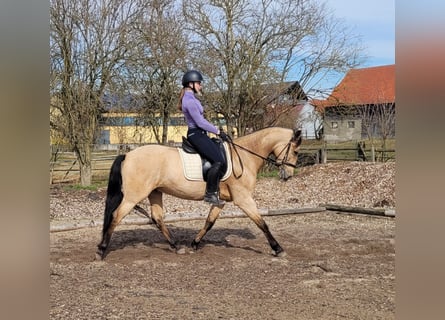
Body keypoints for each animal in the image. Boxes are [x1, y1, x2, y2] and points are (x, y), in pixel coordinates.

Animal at [96, 126, 302, 258]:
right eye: (296, 152)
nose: (288, 175)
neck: (244, 156)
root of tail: (128, 155)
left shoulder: (221, 201)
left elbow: (209, 222)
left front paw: (195, 243)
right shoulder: (243, 199)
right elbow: (262, 223)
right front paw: (278, 249)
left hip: (155, 192)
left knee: (157, 218)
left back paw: (176, 246)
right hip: (134, 196)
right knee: (116, 216)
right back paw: (102, 250)